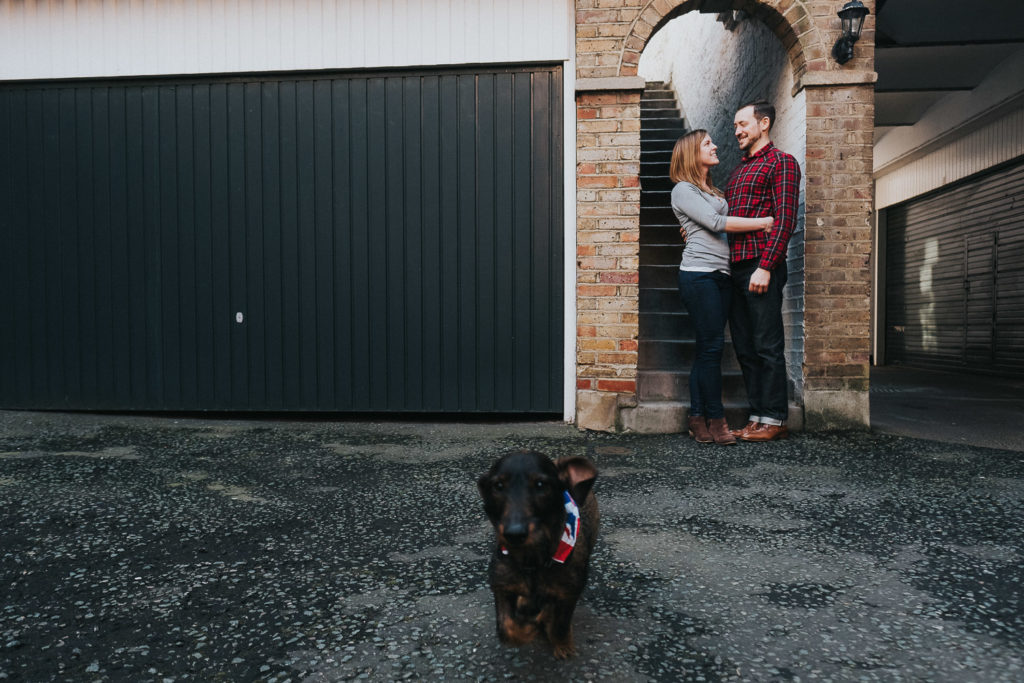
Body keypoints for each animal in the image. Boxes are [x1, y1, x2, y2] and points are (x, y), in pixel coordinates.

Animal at [479, 450, 598, 659]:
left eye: (541, 484)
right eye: (498, 486)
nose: (515, 534)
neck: (532, 561)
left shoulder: (569, 593)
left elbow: (559, 624)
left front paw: (562, 644)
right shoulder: (501, 586)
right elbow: (506, 627)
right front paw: (527, 631)